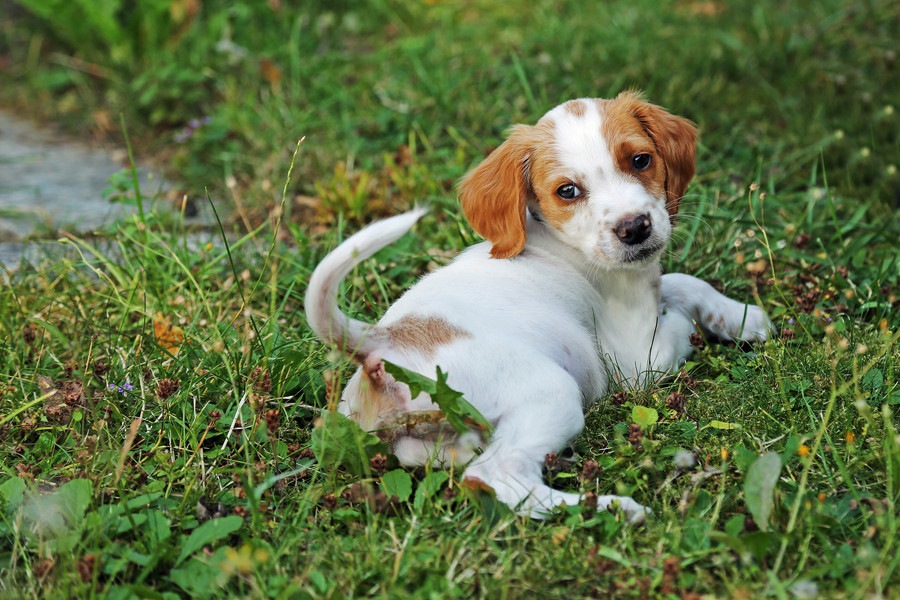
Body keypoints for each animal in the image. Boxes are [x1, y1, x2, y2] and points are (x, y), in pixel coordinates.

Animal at [306, 91, 768, 524]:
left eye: (641, 160)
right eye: (567, 191)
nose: (635, 228)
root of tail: (379, 344)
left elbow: (682, 282)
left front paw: (740, 317)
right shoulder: (641, 358)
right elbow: (679, 314)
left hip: (436, 443)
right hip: (551, 391)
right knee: (495, 476)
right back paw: (608, 507)